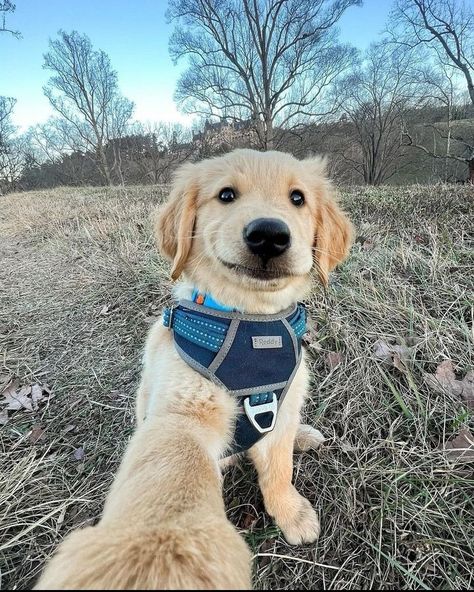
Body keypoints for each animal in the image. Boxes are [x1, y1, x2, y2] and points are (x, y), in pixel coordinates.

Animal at [137, 149, 352, 544]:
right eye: (226, 195)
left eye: (297, 198)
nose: (269, 235)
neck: (252, 321)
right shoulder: (184, 412)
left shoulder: (283, 401)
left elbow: (280, 467)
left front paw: (290, 512)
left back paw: (303, 434)